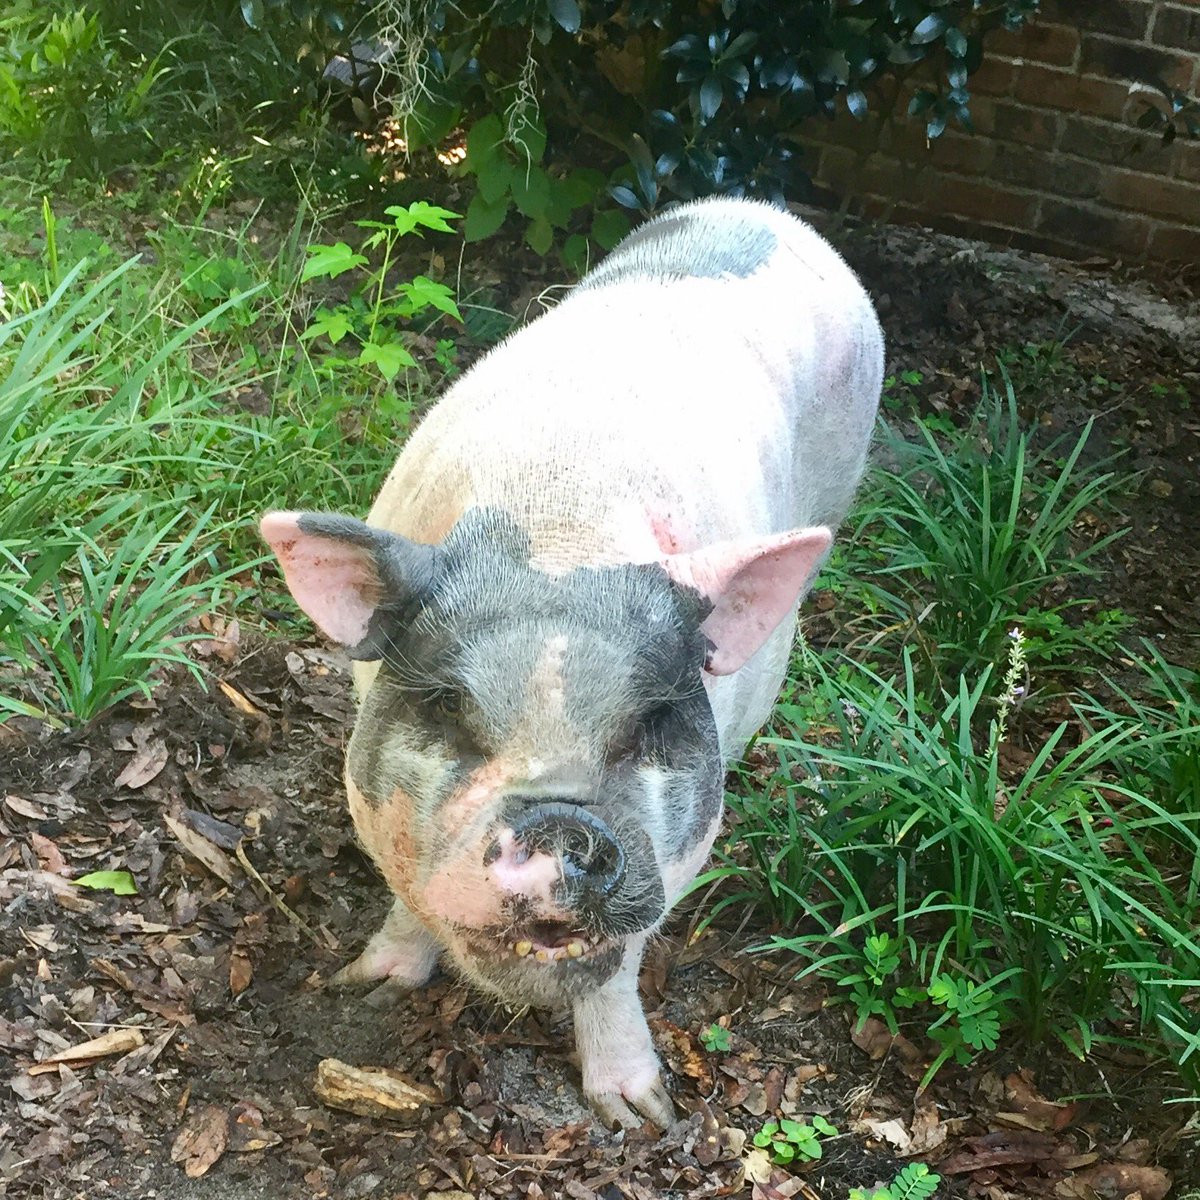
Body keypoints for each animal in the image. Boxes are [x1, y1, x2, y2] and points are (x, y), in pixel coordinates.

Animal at [260, 195, 883, 1130]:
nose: (565, 825)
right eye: (446, 705)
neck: (561, 538)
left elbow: (620, 966)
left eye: (653, 720)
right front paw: (363, 990)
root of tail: (765, 212)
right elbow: (406, 895)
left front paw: (643, 1117)